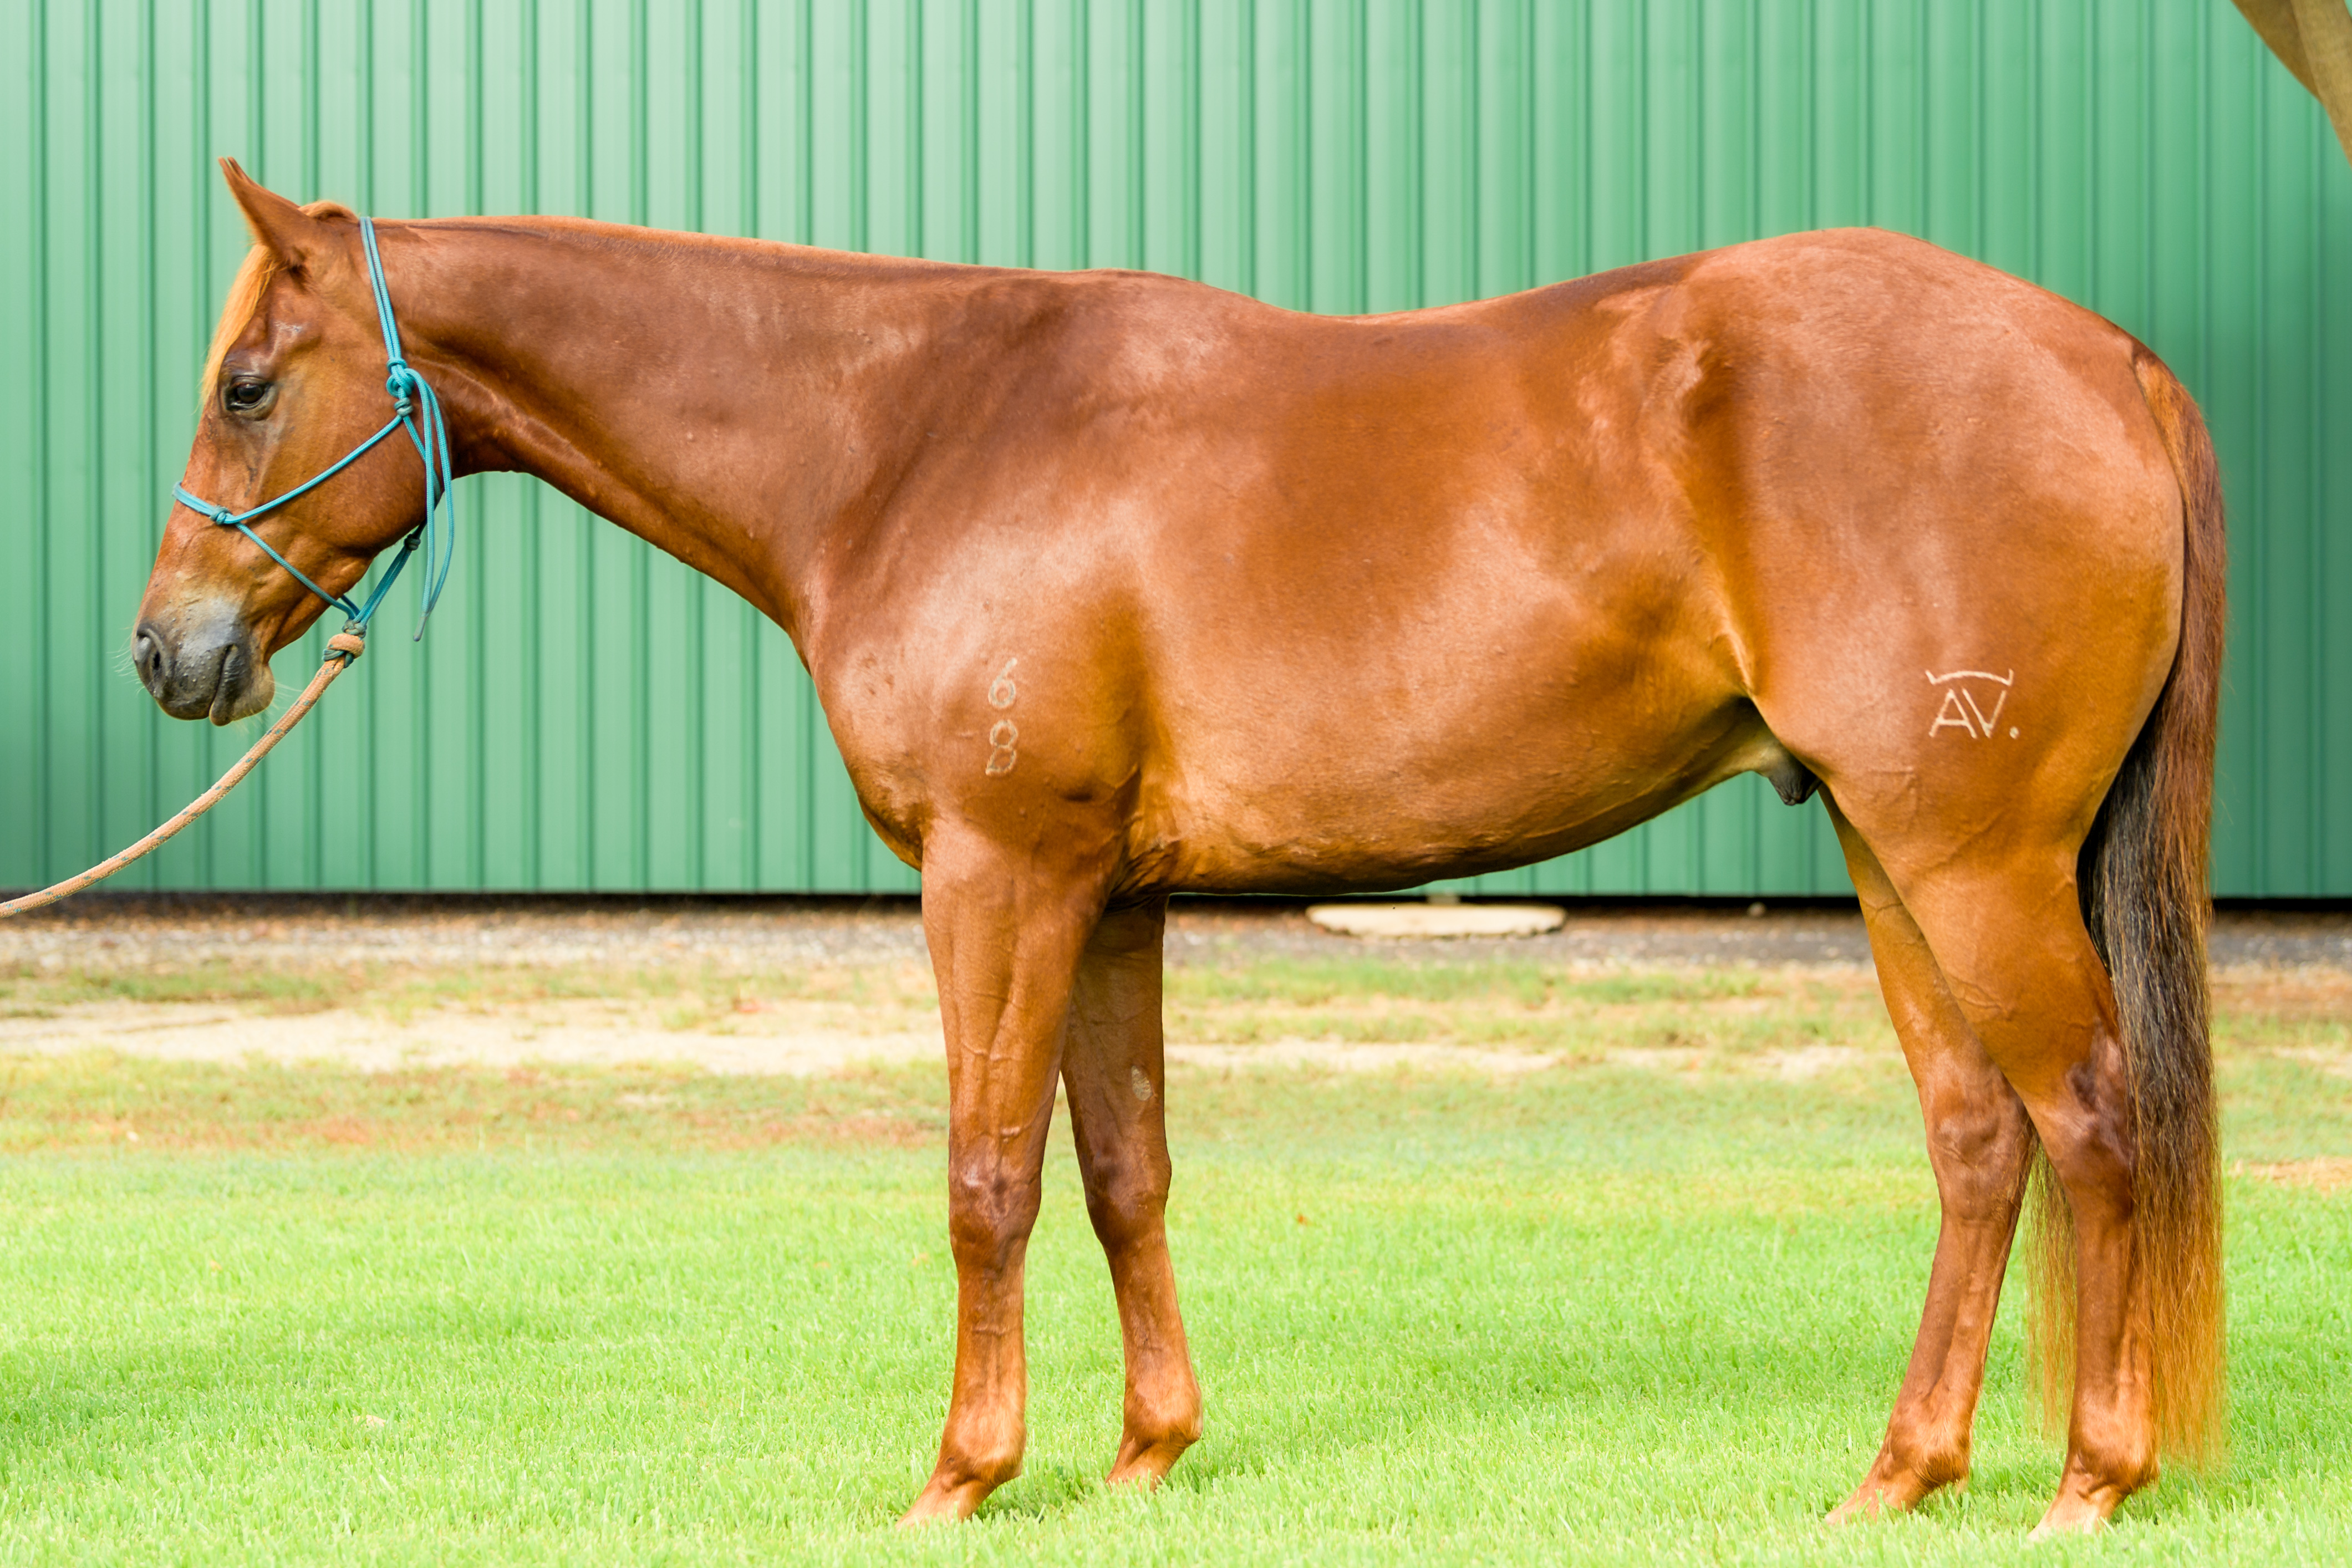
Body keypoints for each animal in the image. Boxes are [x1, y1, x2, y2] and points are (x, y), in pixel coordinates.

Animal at [133, 160, 2223, 1533]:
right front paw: (1145, 1449)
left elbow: (986, 1179)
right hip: (1889, 853)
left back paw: (2089, 1478)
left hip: (1969, 864)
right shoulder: (1111, 899)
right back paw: (1901, 1470)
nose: (172, 652)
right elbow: (1124, 1171)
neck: (905, 436)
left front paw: (964, 1472)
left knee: (2093, 1118)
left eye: (248, 380)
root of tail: (2103, 352)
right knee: (1977, 1142)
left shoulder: (997, 876)